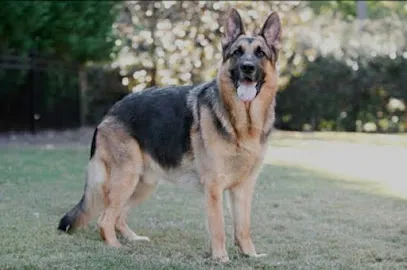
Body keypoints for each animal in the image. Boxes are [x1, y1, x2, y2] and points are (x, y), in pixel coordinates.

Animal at [59, 8, 282, 262]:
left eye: (260, 53)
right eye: (237, 53)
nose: (247, 67)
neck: (243, 124)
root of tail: (111, 111)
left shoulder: (243, 189)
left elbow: (243, 227)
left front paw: (250, 254)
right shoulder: (214, 189)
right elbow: (218, 228)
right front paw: (221, 258)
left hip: (143, 183)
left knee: (118, 216)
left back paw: (133, 238)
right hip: (127, 178)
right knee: (105, 219)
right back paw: (115, 246)